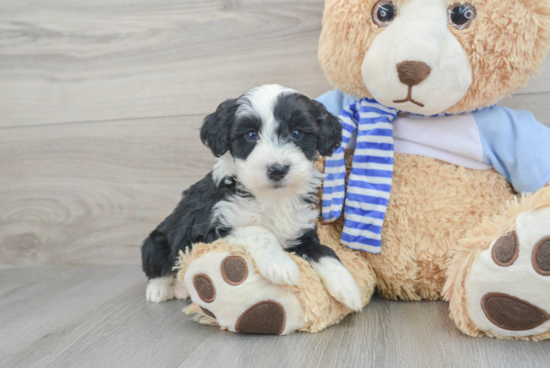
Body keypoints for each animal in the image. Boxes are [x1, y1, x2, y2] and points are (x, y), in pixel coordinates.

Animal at [142, 84, 364, 310]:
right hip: (155, 243)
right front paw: (280, 264)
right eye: (250, 135)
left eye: (296, 133)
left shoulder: (302, 230)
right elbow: (258, 231)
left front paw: (346, 285)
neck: (270, 197)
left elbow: (324, 250)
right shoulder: (205, 232)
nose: (277, 169)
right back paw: (160, 289)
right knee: (159, 267)